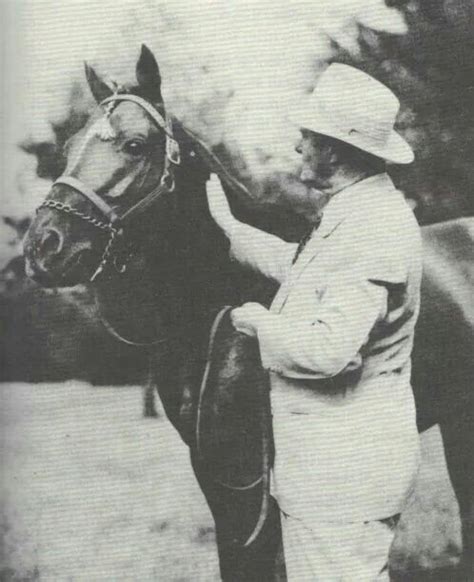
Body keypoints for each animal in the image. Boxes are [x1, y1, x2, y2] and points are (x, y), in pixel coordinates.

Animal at [24, 46, 472, 582]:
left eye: (134, 144)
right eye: (71, 145)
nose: (43, 247)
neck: (209, 311)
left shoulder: (254, 476)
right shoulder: (217, 471)